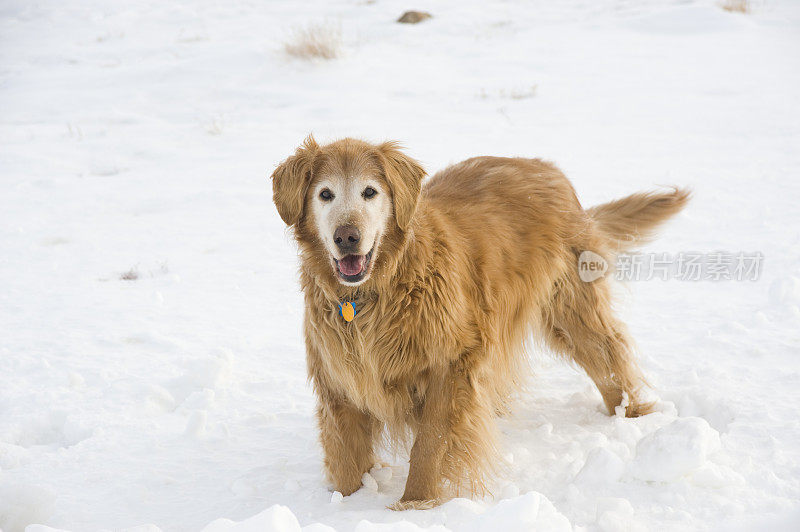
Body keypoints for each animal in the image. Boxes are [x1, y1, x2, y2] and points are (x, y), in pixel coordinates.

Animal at [268, 135, 688, 510]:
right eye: (325, 194)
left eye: (369, 192)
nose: (347, 237)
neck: (374, 293)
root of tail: (548, 168)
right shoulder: (339, 377)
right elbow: (346, 461)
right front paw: (344, 505)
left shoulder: (451, 364)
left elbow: (430, 443)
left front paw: (415, 505)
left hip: (572, 311)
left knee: (611, 359)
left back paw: (630, 419)